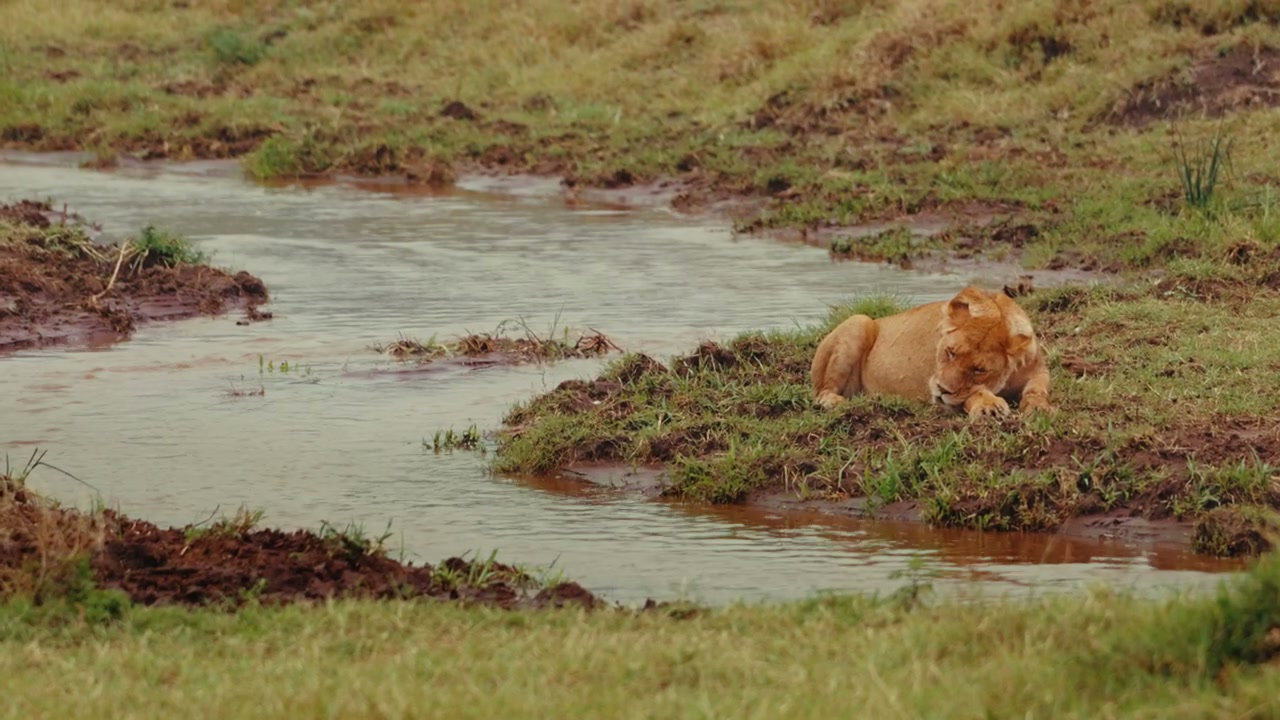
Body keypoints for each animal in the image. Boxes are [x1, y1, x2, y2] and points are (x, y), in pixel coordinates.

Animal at [810, 286, 1051, 419]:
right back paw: (837, 401)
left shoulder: (1039, 371)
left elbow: (1037, 390)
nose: (941, 389)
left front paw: (1040, 407)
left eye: (979, 370)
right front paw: (988, 406)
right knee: (822, 392)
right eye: (950, 352)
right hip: (859, 321)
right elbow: (972, 394)